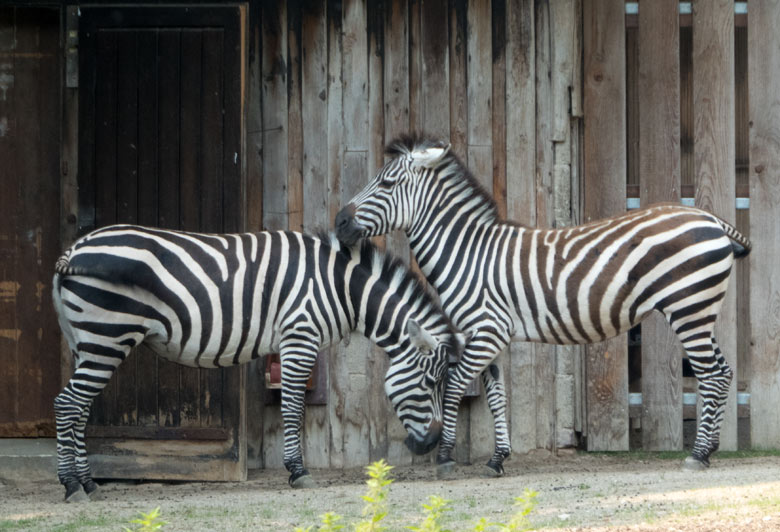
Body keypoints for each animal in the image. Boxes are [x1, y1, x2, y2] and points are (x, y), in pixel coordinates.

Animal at [51, 224, 460, 502]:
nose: (432, 443)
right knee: (67, 404)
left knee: (79, 409)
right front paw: (298, 472)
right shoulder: (300, 336)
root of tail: (73, 250)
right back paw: (71, 485)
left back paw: (88, 483)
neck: (339, 288)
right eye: (430, 383)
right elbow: (293, 409)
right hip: (107, 337)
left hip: (85, 342)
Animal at [334, 135, 748, 476]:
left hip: (688, 308)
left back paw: (697, 454)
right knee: (725, 372)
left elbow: (454, 386)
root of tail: (711, 218)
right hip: (700, 311)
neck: (467, 254)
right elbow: (496, 395)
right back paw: (710, 449)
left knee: (711, 375)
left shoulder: (485, 331)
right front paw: (497, 459)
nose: (339, 222)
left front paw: (447, 456)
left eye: (386, 183)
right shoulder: (488, 335)